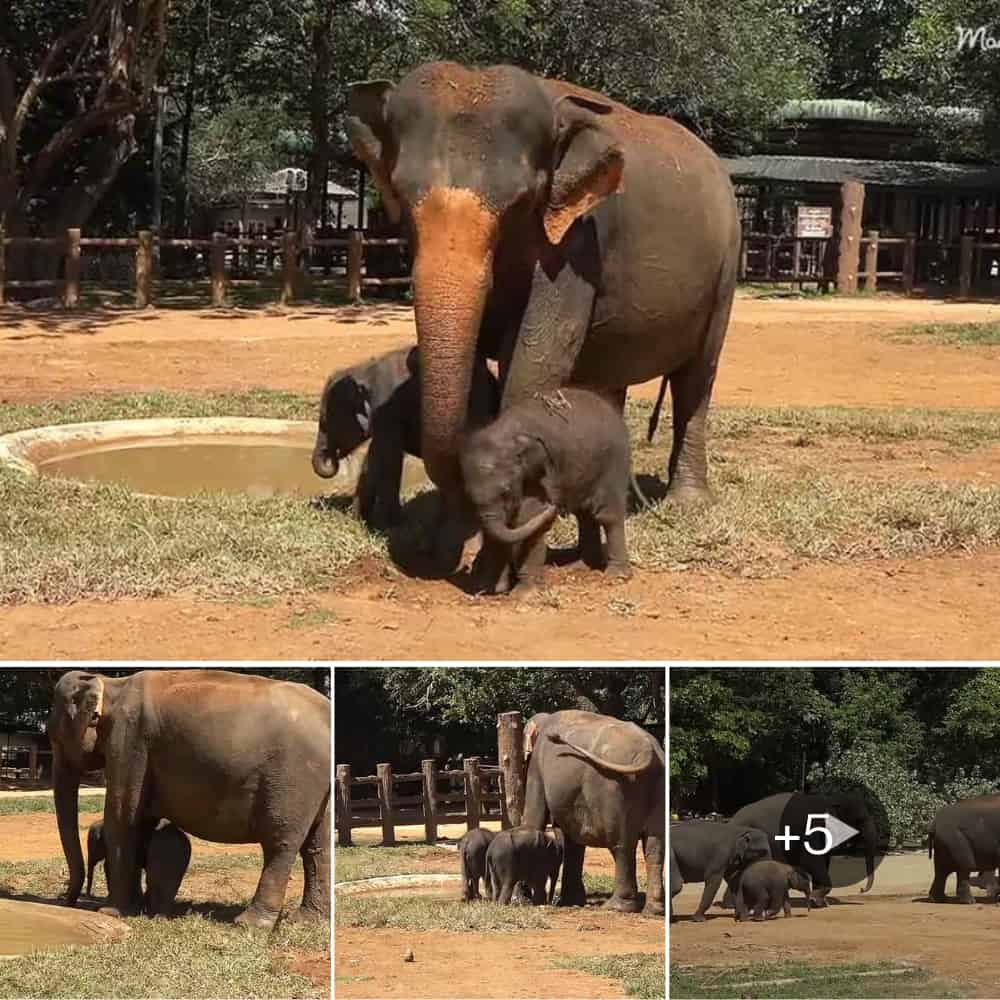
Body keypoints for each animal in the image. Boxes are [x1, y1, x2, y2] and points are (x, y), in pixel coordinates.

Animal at [50, 670, 330, 929]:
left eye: (55, 737)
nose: (68, 902)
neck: (112, 685)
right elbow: (142, 822)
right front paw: (134, 907)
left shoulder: (129, 743)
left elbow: (122, 817)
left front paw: (110, 912)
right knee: (317, 845)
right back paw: (308, 920)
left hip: (294, 779)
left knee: (280, 844)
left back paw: (248, 924)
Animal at [312, 346, 499, 529]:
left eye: (326, 422)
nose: (332, 459)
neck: (363, 369)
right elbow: (374, 459)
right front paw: (359, 520)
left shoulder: (388, 410)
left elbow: (388, 459)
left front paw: (390, 525)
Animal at [458, 387, 631, 593]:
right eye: (469, 496)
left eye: (506, 491)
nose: (554, 506)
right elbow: (498, 531)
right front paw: (491, 588)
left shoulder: (538, 478)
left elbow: (528, 520)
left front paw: (523, 593)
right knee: (585, 515)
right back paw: (581, 566)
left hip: (613, 462)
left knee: (607, 515)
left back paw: (616, 575)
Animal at [522, 710, 664, 915]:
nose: (525, 896)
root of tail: (648, 749)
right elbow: (572, 841)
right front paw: (571, 901)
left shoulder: (536, 766)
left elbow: (535, 820)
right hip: (656, 785)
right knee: (654, 846)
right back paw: (654, 910)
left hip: (614, 789)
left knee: (621, 844)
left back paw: (617, 907)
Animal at [726, 792, 879, 908]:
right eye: (859, 820)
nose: (861, 889)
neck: (831, 799)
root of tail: (732, 818)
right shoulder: (812, 828)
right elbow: (811, 861)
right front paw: (815, 900)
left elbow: (823, 859)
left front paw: (820, 903)